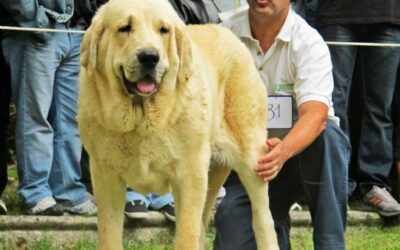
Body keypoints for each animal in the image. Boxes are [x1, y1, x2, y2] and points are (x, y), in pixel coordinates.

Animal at [78, 0, 278, 249]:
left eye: (163, 30)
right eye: (125, 28)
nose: (149, 57)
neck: (141, 119)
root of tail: (231, 35)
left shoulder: (190, 176)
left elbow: (186, 235)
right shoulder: (105, 176)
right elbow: (109, 233)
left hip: (251, 160)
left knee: (263, 220)